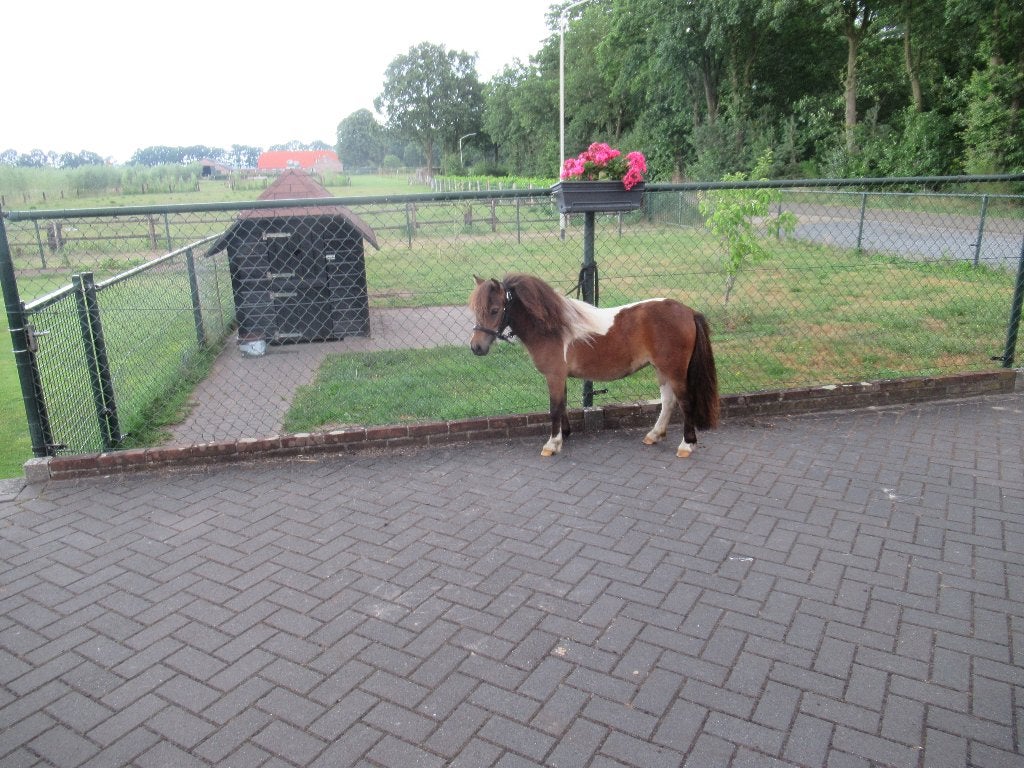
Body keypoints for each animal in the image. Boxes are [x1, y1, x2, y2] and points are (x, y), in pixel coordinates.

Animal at [469, 273, 719, 458]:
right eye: (475, 310)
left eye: (494, 310)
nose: (476, 347)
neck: (552, 328)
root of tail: (688, 311)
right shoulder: (560, 377)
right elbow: (562, 405)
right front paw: (564, 435)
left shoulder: (554, 376)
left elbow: (554, 408)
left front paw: (552, 444)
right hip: (662, 370)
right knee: (668, 401)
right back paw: (654, 435)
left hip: (674, 371)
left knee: (685, 402)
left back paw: (686, 445)